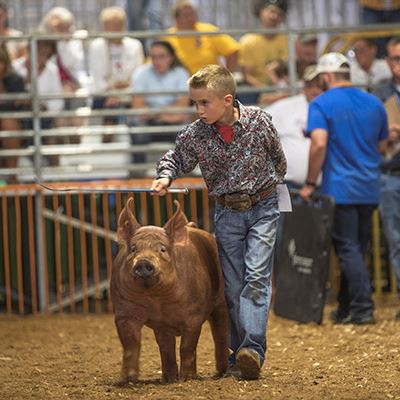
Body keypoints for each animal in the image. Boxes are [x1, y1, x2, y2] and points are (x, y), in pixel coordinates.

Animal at [110, 198, 228, 382]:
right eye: (134, 248)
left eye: (162, 249)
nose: (143, 262)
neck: (156, 298)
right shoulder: (124, 312)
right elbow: (131, 344)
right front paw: (127, 379)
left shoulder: (193, 315)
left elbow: (187, 346)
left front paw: (186, 379)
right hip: (162, 327)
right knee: (165, 345)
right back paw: (168, 379)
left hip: (221, 301)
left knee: (220, 333)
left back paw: (220, 373)